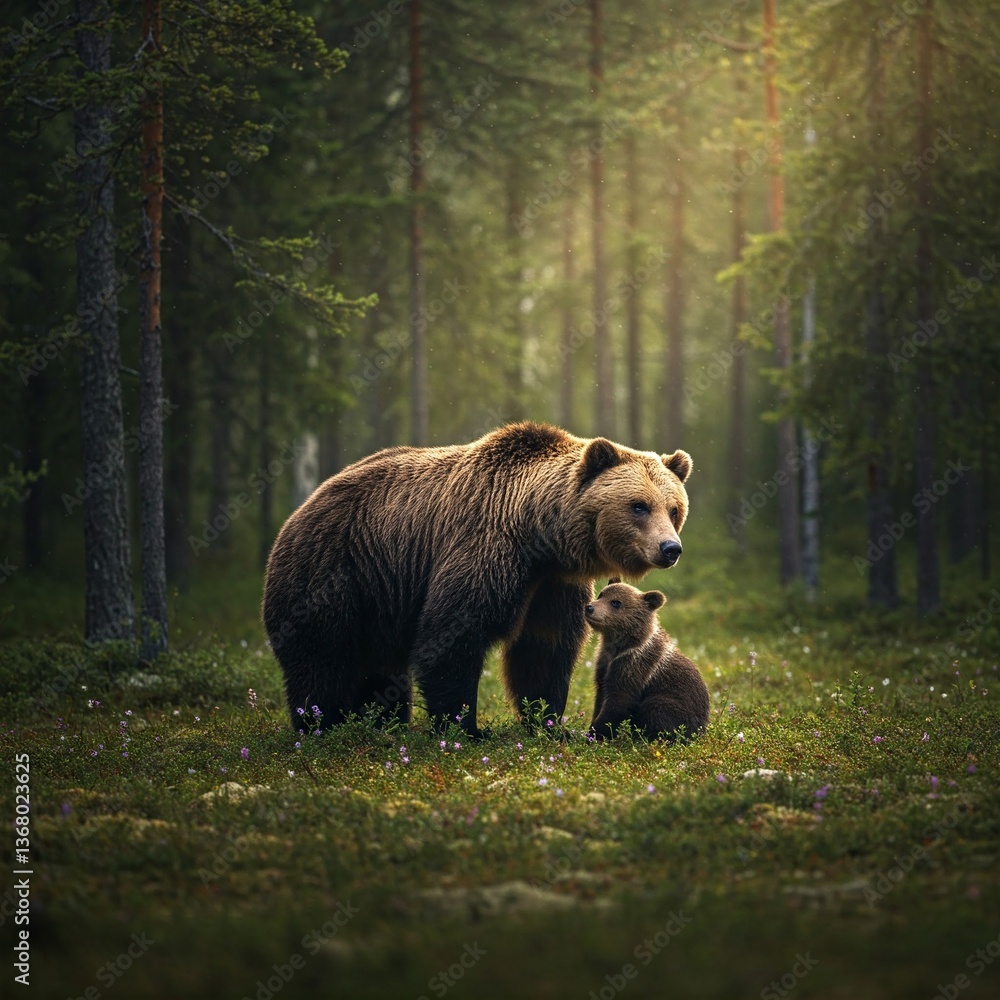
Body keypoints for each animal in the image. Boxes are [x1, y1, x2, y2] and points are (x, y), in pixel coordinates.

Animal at [261, 421, 693, 738]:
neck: (536, 534)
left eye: (673, 508)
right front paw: (466, 728)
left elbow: (544, 647)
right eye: (638, 506)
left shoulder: (552, 582)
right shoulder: (484, 547)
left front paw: (549, 722)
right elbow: (453, 636)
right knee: (322, 661)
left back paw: (383, 722)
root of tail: (299, 510)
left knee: (378, 671)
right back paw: (322, 724)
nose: (670, 548)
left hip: (380, 604)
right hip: (337, 573)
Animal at [586, 580, 709, 742]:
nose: (589, 607)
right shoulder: (604, 662)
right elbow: (601, 695)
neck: (618, 647)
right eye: (601, 594)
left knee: (656, 707)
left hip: (683, 708)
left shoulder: (634, 665)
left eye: (616, 602)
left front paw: (595, 733)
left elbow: (619, 701)